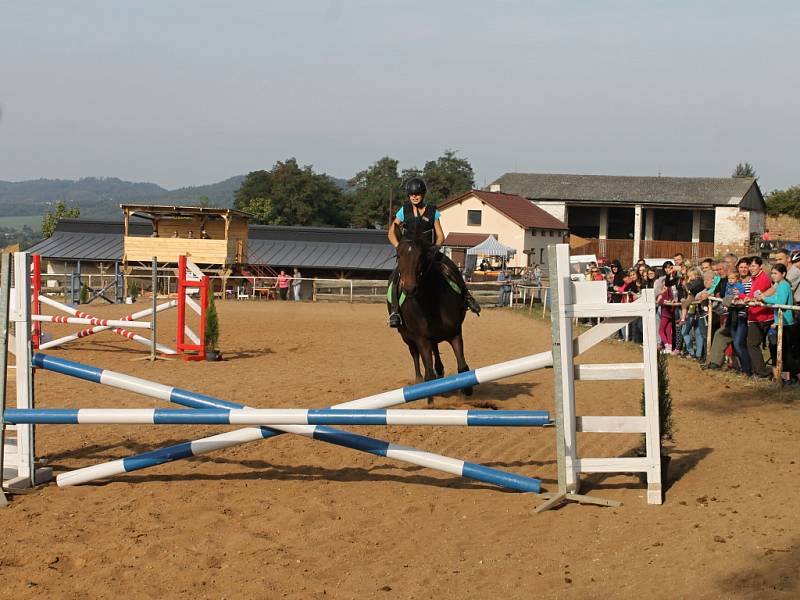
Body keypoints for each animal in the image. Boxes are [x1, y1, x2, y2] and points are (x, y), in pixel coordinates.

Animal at [390, 224, 472, 398]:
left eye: (420, 256)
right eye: (398, 256)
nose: (409, 289)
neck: (430, 301)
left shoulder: (455, 332)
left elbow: (462, 366)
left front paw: (466, 389)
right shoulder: (422, 339)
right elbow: (429, 373)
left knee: (435, 351)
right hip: (407, 337)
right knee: (415, 355)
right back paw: (418, 378)